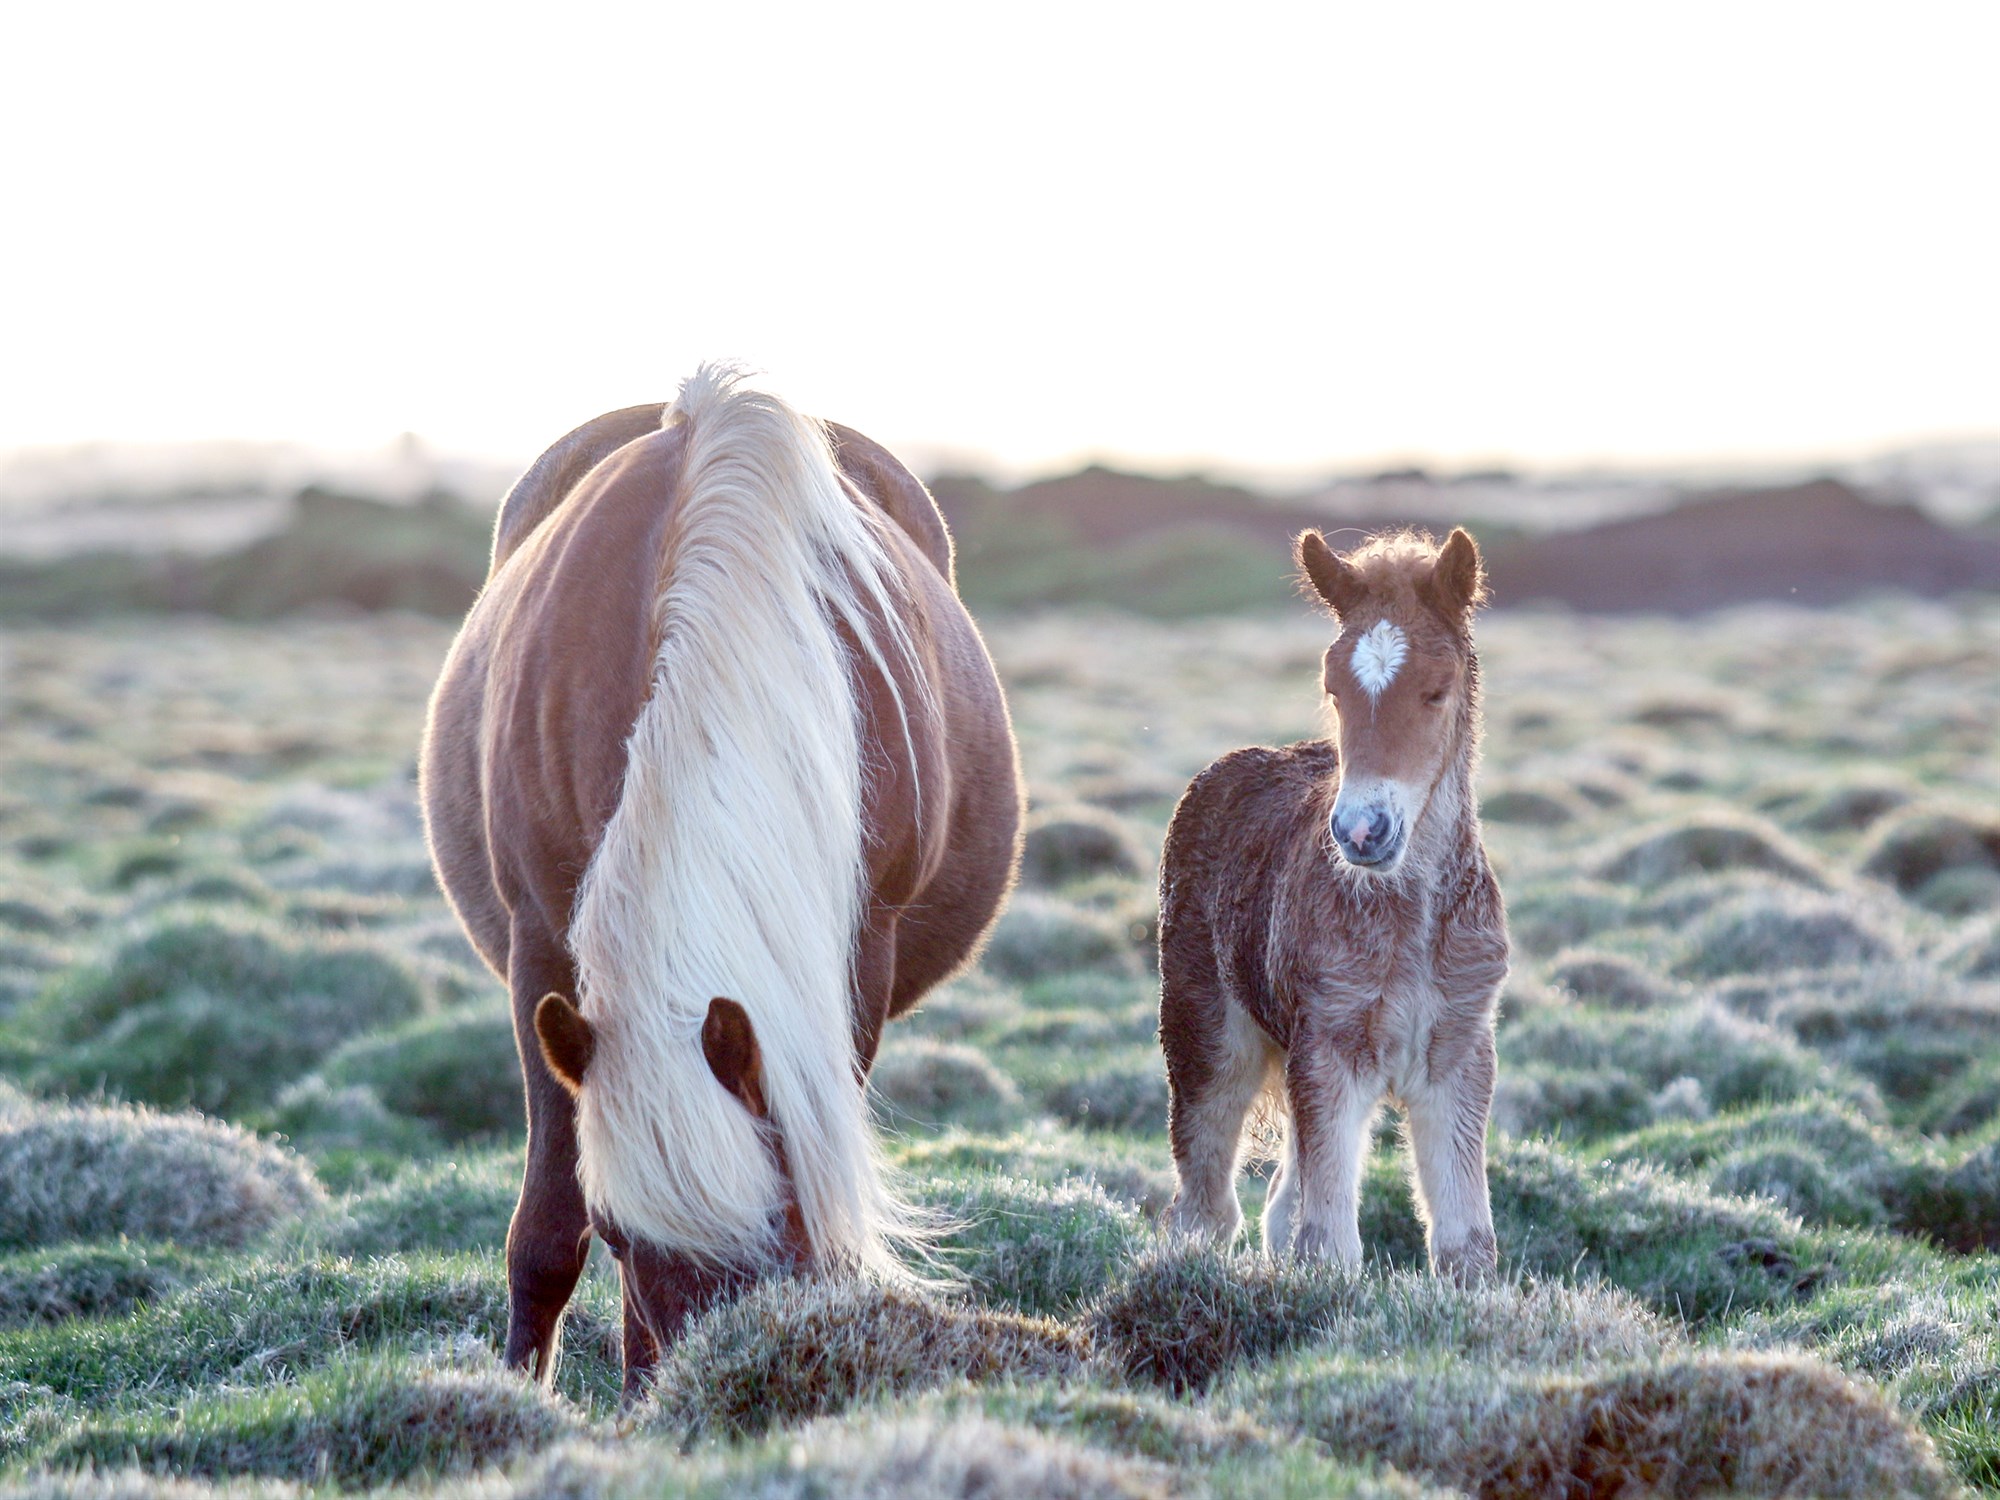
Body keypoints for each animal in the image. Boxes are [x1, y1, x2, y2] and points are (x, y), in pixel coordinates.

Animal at [418, 368, 1016, 1400]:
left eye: (782, 1227)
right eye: (620, 1235)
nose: (704, 1390)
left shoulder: (861, 957)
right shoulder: (541, 950)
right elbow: (547, 1233)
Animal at [1152, 524, 1504, 1280]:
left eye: (1437, 691)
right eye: (1334, 688)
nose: (1362, 831)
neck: (1411, 922)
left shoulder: (1459, 1055)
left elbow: (1466, 1245)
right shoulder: (1330, 1048)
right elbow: (1330, 1246)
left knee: (1278, 1204)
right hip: (1208, 1034)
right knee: (1204, 1206)